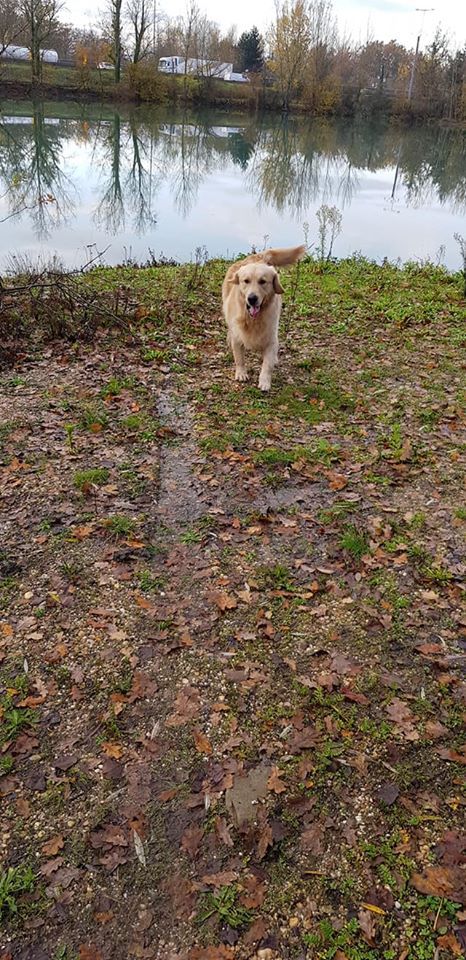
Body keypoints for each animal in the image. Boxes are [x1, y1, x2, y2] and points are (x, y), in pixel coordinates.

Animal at [222, 246, 306, 392]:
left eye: (263, 281)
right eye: (246, 281)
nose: (252, 298)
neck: (253, 319)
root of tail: (257, 256)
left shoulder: (271, 338)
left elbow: (267, 364)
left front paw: (265, 381)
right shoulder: (237, 337)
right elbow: (239, 358)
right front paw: (241, 373)